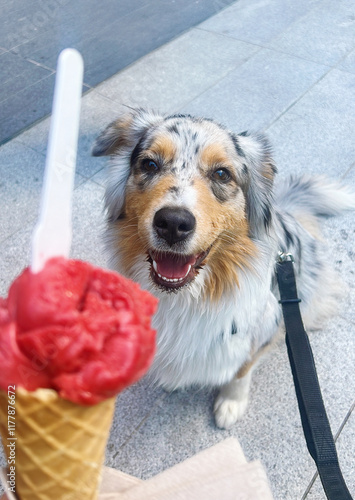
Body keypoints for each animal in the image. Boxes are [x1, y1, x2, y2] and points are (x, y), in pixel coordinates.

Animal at [92, 109, 355, 430]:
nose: (173, 223)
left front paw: (231, 403)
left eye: (221, 174)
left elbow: (241, 371)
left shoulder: (263, 325)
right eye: (150, 164)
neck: (187, 298)